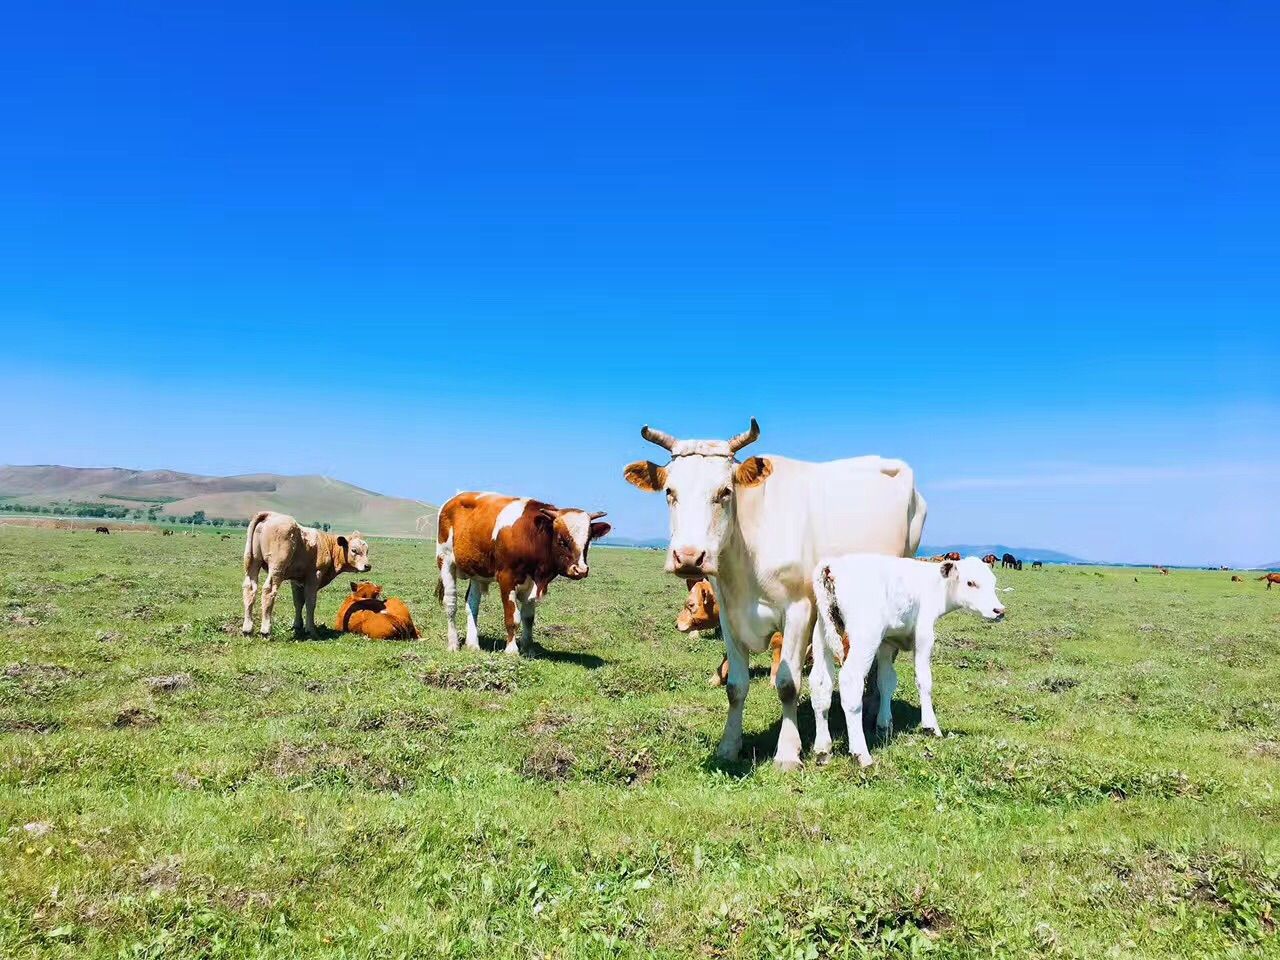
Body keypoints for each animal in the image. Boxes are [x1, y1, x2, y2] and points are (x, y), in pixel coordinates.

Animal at [240, 512, 371, 640]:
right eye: (354, 550)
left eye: (367, 550)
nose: (367, 566)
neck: (328, 545)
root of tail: (269, 515)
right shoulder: (314, 576)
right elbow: (310, 603)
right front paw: (310, 630)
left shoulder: (296, 580)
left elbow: (298, 602)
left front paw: (297, 625)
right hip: (277, 567)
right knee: (269, 591)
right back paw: (266, 631)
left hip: (253, 562)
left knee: (249, 589)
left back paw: (247, 629)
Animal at [624, 419, 926, 773]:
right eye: (670, 492)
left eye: (725, 492)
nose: (688, 557)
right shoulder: (729, 615)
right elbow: (735, 687)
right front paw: (729, 746)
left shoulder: (798, 611)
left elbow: (787, 684)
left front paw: (788, 753)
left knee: (885, 664)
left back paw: (880, 717)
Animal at [814, 555, 1003, 768]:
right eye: (970, 583)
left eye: (993, 582)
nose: (999, 610)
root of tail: (832, 564)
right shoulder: (924, 635)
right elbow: (924, 681)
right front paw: (931, 727)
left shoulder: (887, 644)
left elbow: (886, 682)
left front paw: (884, 724)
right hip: (865, 637)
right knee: (850, 682)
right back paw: (861, 754)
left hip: (822, 635)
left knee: (821, 685)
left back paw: (822, 749)